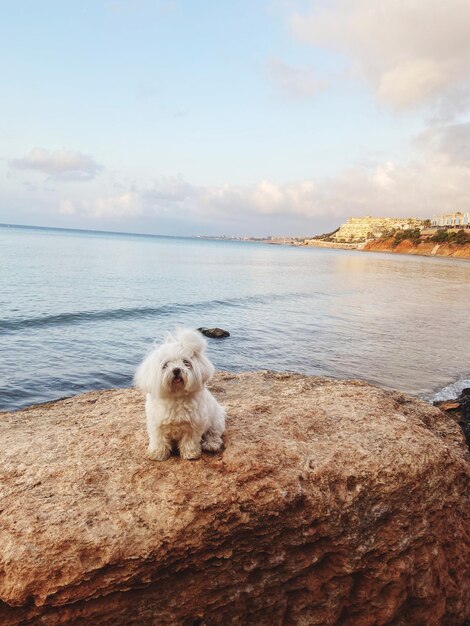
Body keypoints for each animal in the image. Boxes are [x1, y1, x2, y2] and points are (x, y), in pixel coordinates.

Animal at [134, 326, 226, 458]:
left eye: (186, 362)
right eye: (165, 365)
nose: (176, 370)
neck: (176, 396)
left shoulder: (194, 425)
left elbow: (190, 440)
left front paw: (190, 454)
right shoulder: (156, 424)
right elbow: (159, 439)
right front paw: (157, 453)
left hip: (216, 420)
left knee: (214, 433)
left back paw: (211, 444)